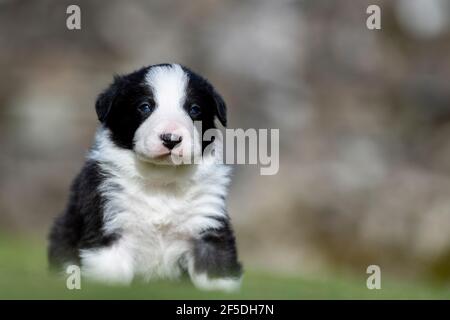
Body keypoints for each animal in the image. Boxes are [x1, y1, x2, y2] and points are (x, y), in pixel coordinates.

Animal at [48, 63, 243, 292]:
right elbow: (112, 275)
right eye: (145, 107)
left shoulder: (207, 226)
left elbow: (216, 269)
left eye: (194, 109)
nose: (171, 139)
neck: (161, 180)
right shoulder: (108, 226)